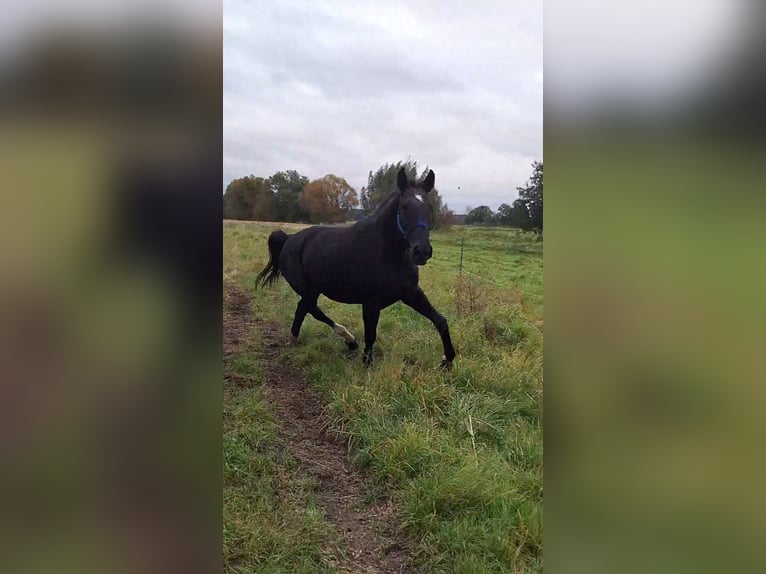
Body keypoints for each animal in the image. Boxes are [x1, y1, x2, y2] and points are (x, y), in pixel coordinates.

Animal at [255, 167, 456, 370]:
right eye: (404, 206)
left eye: (429, 207)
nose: (421, 251)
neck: (387, 253)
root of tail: (289, 239)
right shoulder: (371, 303)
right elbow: (370, 336)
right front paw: (366, 364)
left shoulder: (411, 293)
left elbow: (441, 321)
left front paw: (447, 360)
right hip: (309, 290)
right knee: (311, 309)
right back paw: (347, 340)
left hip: (313, 290)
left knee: (304, 309)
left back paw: (305, 339)